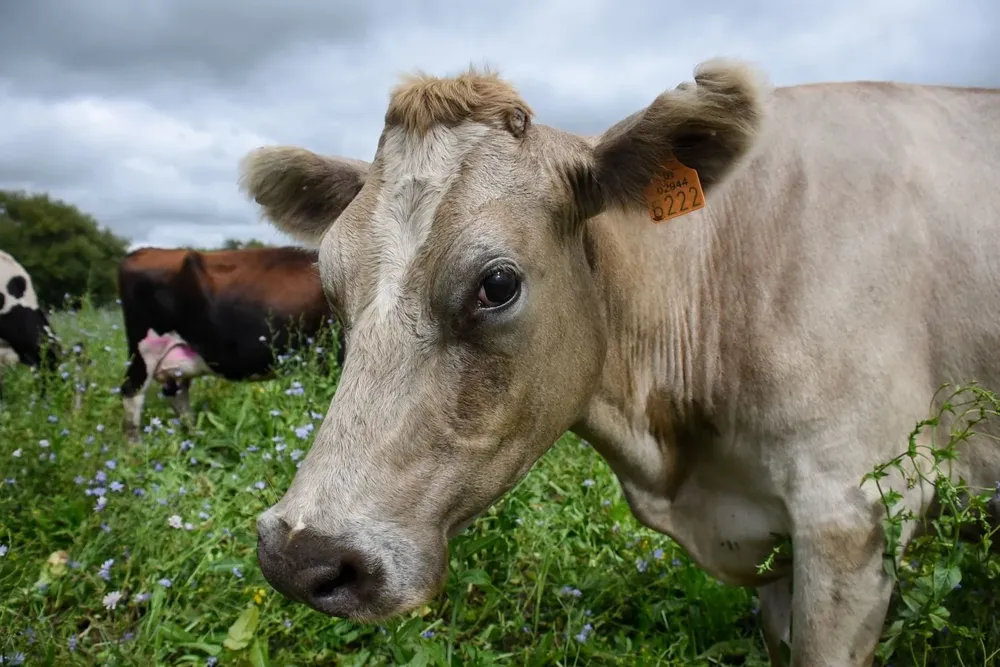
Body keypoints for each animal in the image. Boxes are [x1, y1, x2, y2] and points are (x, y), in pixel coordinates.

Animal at [116, 245, 344, 441]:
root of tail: (143, 252)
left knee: (178, 396)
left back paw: (195, 440)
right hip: (144, 350)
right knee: (132, 392)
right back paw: (135, 450)